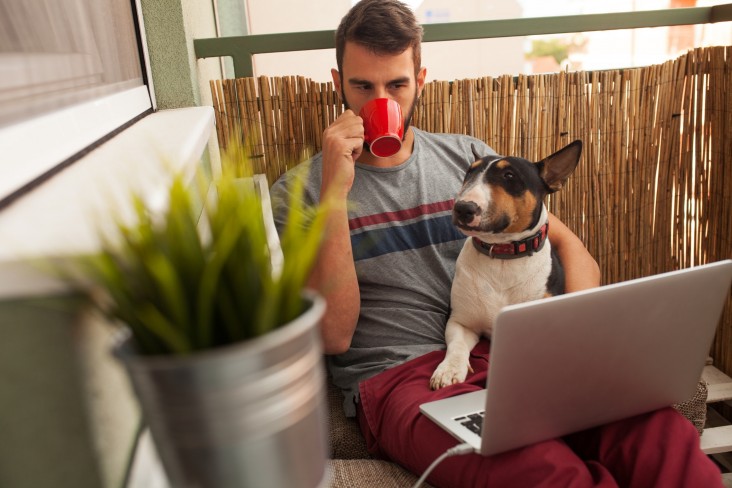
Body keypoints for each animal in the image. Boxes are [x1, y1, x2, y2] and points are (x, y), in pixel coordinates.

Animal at [428, 140, 584, 388]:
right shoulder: (461, 322)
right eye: (469, 172)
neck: (503, 256)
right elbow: (457, 345)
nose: (463, 208)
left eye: (509, 175)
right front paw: (448, 370)